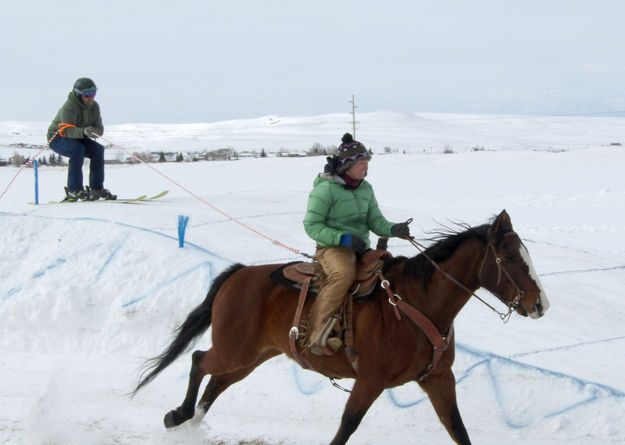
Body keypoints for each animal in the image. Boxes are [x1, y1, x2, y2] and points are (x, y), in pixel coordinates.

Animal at [132, 209, 544, 444]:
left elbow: (457, 428)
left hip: (252, 357)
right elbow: (348, 425)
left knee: (216, 383)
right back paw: (178, 415)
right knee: (199, 361)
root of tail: (238, 274)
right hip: (234, 350)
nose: (540, 304)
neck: (416, 303)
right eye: (510, 256)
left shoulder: (438, 379)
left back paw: (190, 424)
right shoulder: (371, 380)